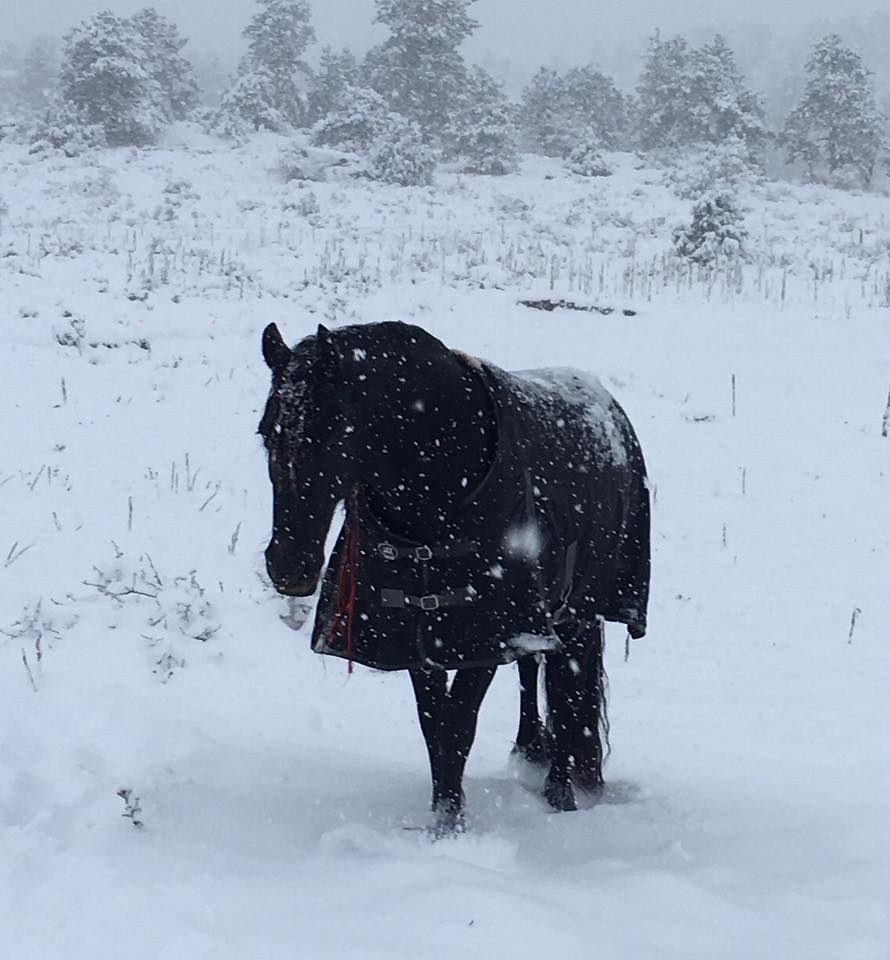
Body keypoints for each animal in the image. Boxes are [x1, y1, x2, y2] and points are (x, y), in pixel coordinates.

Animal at [256, 322, 644, 832]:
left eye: (330, 431)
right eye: (266, 431)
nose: (288, 566)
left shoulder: (484, 635)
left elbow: (458, 722)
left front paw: (448, 824)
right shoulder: (422, 635)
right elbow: (433, 723)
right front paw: (445, 810)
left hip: (578, 610)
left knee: (566, 687)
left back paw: (559, 792)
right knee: (534, 671)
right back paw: (530, 753)